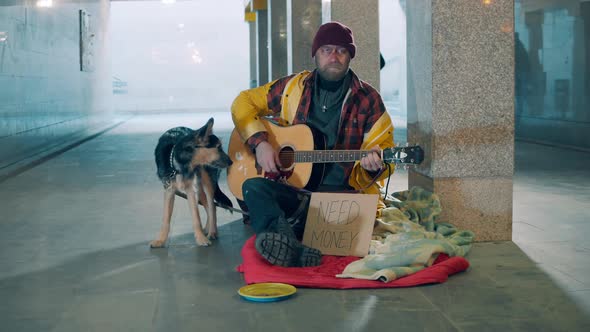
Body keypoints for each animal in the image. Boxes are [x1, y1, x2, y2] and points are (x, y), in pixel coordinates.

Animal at [150, 118, 234, 248]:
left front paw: (201, 239)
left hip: (207, 182)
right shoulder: (169, 190)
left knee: (212, 206)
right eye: (218, 147)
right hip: (199, 188)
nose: (231, 162)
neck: (178, 164)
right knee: (208, 206)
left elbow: (196, 217)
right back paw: (207, 229)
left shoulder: (191, 191)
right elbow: (165, 218)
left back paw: (212, 231)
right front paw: (161, 240)